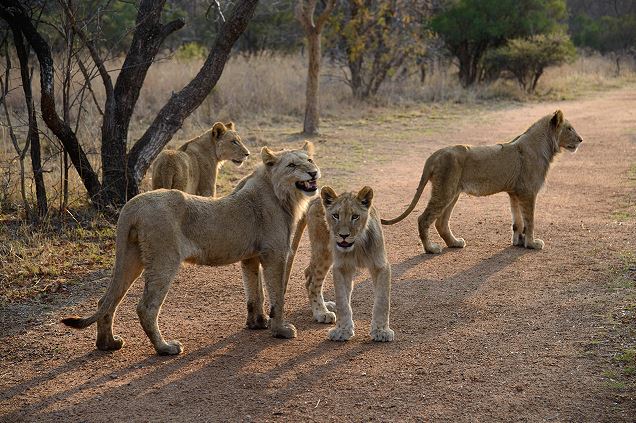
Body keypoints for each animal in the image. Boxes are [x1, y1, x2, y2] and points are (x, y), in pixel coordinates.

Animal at [62, 142, 320, 354]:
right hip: (164, 259)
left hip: (130, 258)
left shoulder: (251, 257)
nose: (314, 172)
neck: (282, 194)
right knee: (146, 307)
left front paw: (258, 323)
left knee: (107, 300)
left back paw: (108, 344)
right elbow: (277, 294)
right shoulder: (274, 254)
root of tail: (133, 205)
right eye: (292, 165)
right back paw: (165, 347)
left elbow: (255, 292)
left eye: (310, 160)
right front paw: (281, 330)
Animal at [290, 187, 396, 342]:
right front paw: (342, 330)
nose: (343, 235)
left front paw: (381, 331)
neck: (357, 245)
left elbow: (382, 301)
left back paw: (326, 306)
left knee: (308, 272)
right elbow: (342, 302)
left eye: (355, 216)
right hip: (324, 250)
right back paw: (321, 312)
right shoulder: (341, 267)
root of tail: (315, 199)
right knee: (312, 282)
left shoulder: (381, 266)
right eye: (335, 216)